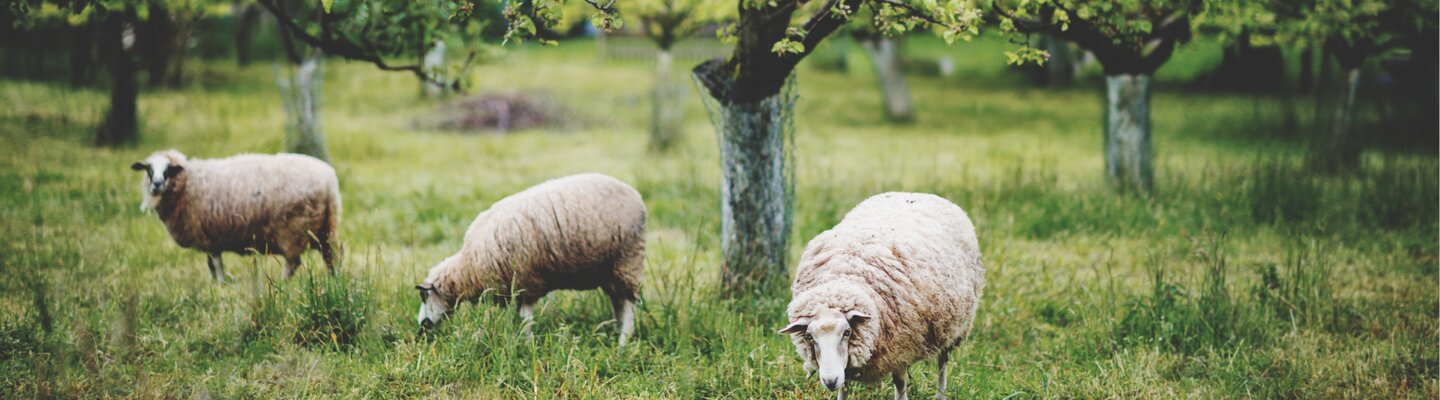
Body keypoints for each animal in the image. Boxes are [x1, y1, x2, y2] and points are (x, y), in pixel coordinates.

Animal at [130, 148, 342, 283]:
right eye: (149, 169)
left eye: (168, 170)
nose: (156, 185)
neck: (188, 184)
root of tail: (328, 182)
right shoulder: (210, 238)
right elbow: (211, 264)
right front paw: (214, 283)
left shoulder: (210, 238)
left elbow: (216, 263)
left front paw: (220, 284)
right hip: (326, 227)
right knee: (331, 254)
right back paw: (333, 278)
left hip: (294, 228)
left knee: (293, 262)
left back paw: (282, 283)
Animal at [414, 173, 645, 345]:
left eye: (424, 296)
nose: (422, 327)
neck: (468, 267)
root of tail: (636, 195)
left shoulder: (524, 283)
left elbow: (526, 320)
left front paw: (527, 343)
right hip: (610, 270)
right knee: (618, 302)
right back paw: (615, 332)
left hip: (628, 259)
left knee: (629, 305)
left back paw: (623, 342)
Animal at [783, 192, 984, 397]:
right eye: (810, 337)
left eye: (847, 332)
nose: (830, 381)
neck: (841, 278)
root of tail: (916, 194)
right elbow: (844, 388)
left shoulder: (900, 348)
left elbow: (900, 383)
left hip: (954, 327)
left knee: (943, 362)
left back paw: (940, 394)